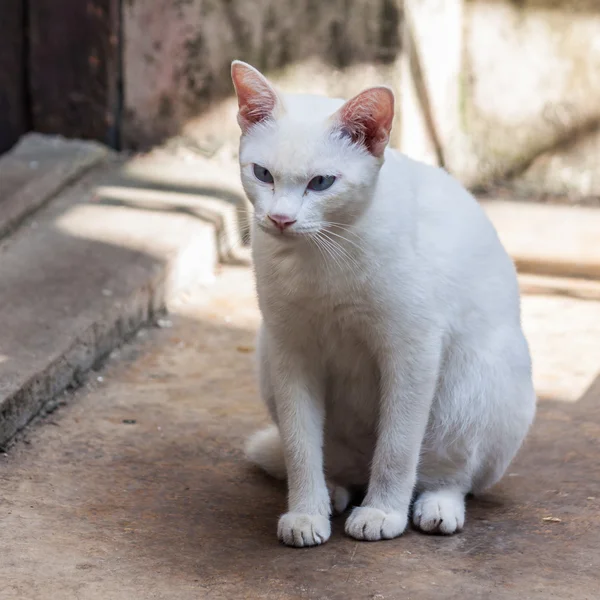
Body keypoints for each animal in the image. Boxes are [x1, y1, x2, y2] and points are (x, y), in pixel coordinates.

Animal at [232, 62, 536, 548]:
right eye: (262, 173)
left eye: (321, 182)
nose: (280, 219)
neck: (322, 255)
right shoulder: (289, 349)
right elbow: (300, 445)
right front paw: (306, 512)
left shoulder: (412, 350)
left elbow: (397, 445)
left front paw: (383, 512)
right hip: (265, 361)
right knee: (330, 458)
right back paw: (334, 490)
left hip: (479, 379)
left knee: (453, 474)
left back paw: (435, 505)